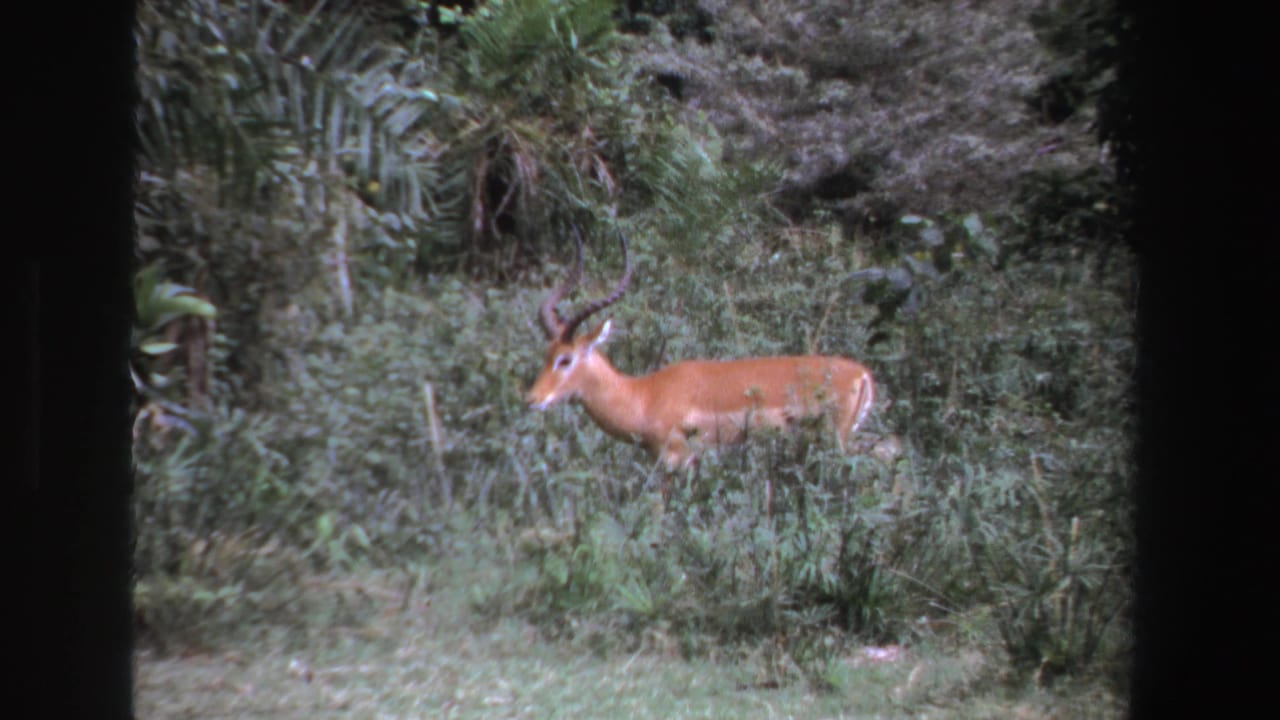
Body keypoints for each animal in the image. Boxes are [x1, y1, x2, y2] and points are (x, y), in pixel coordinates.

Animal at [526, 227, 877, 485]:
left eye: (566, 359)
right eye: (546, 354)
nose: (532, 399)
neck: (644, 396)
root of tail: (861, 374)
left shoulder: (676, 460)